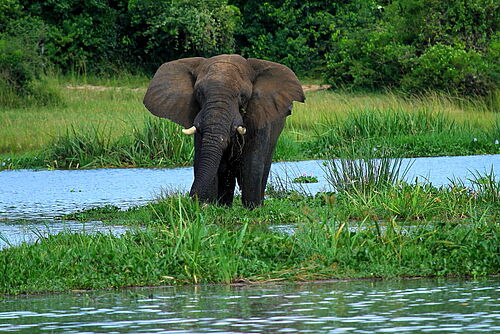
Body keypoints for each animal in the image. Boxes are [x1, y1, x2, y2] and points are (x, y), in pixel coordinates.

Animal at [143, 53, 302, 207]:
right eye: (199, 93)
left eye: (243, 96)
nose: (193, 199)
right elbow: (203, 159)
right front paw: (208, 205)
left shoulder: (260, 114)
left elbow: (252, 162)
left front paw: (252, 209)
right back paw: (225, 206)